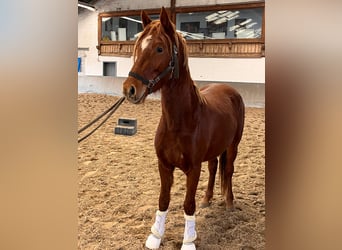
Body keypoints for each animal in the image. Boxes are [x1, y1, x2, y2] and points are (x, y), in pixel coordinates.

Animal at [121, 7, 244, 250]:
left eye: (159, 48)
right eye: (138, 46)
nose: (130, 89)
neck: (179, 123)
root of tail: (229, 90)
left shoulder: (193, 169)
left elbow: (188, 204)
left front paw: (188, 241)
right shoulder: (164, 165)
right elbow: (163, 200)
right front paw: (155, 236)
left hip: (233, 146)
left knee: (228, 170)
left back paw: (229, 202)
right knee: (214, 168)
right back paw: (207, 199)